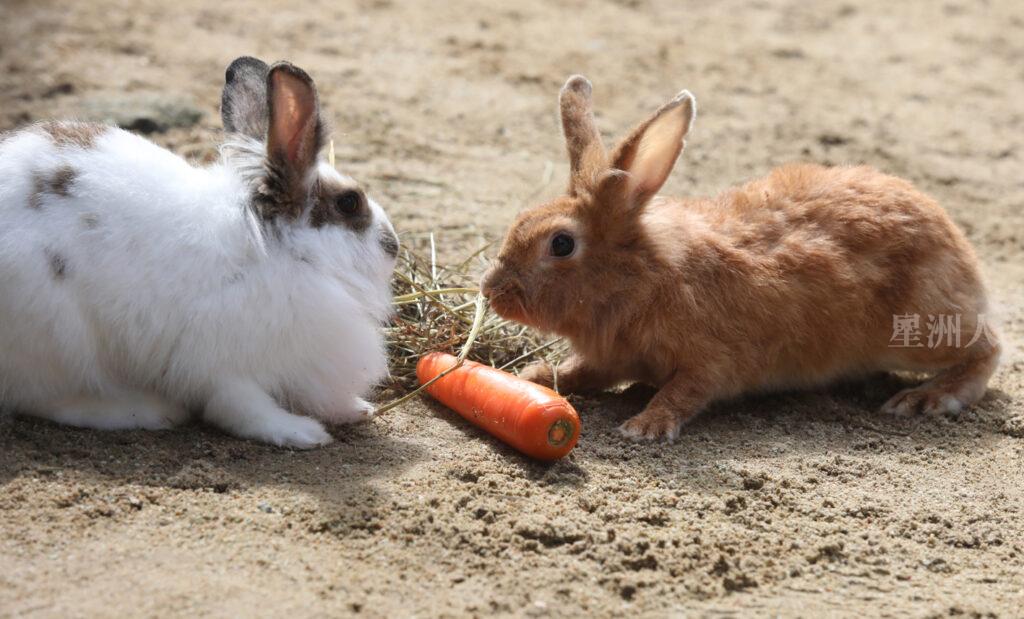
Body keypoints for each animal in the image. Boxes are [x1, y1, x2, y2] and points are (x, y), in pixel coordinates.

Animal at [0, 57, 397, 446]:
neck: (283, 249)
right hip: (55, 337)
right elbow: (241, 407)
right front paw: (300, 433)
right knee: (45, 399)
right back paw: (144, 411)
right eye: (349, 203)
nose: (392, 245)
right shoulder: (221, 362)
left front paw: (358, 409)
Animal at [479, 76, 999, 440]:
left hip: (917, 329)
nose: (491, 291)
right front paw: (533, 374)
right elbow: (582, 371)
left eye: (561, 244)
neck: (640, 276)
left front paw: (644, 426)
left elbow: (686, 390)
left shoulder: (711, 358)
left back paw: (925, 399)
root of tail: (959, 249)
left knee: (988, 349)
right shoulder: (612, 356)